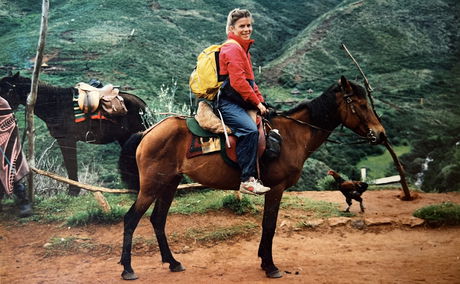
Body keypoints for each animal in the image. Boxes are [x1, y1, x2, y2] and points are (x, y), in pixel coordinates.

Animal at [0, 71, 152, 195]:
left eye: (8, 90)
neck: (56, 104)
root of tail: (142, 104)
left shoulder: (67, 140)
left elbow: (71, 164)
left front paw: (73, 191)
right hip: (124, 137)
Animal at [117, 75, 384, 280]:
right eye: (360, 104)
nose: (380, 134)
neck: (292, 134)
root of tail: (148, 132)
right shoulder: (276, 188)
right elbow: (269, 225)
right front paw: (270, 266)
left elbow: (268, 225)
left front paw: (265, 261)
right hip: (151, 186)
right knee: (131, 219)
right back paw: (128, 269)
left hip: (169, 183)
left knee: (158, 220)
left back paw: (172, 262)